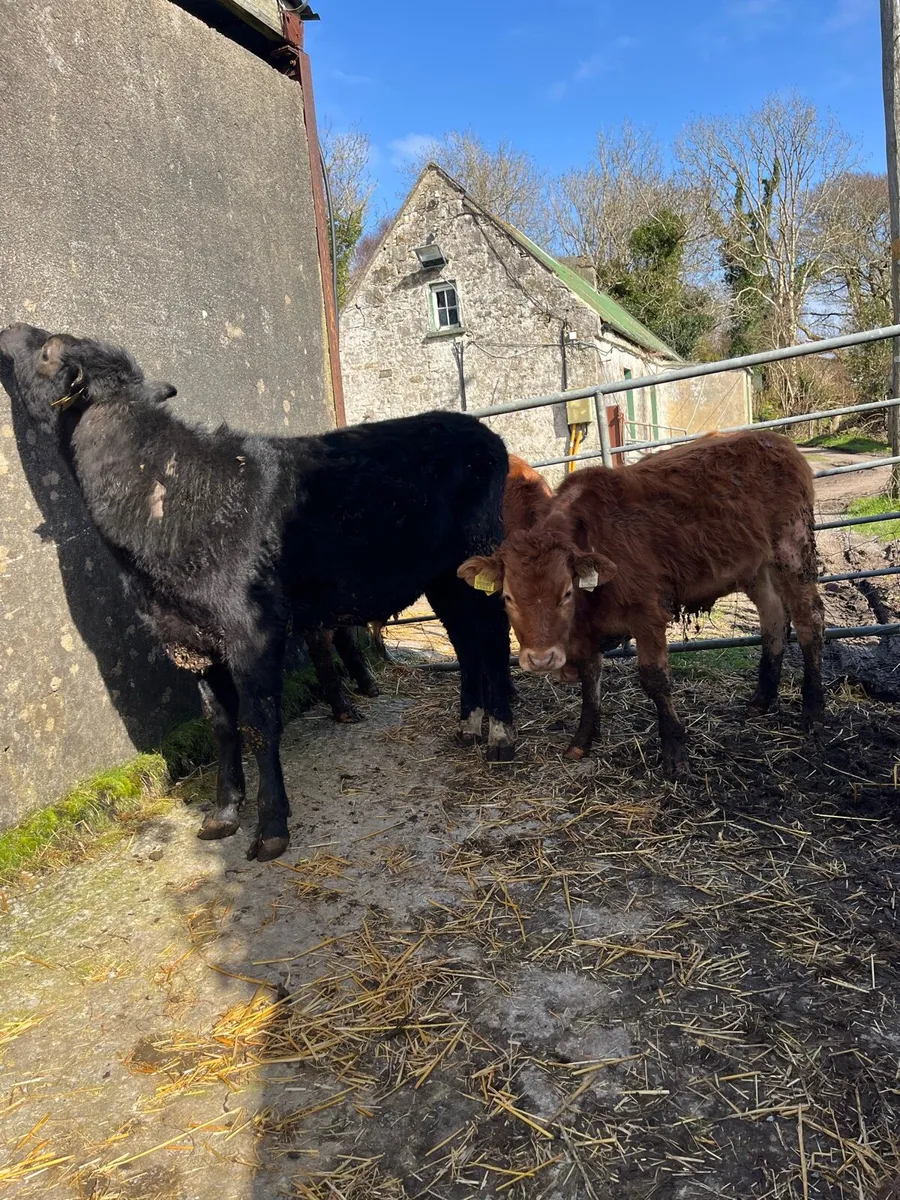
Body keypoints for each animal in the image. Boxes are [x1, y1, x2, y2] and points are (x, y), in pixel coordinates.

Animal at [0, 323, 515, 862]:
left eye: (48, 351)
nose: (10, 329)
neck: (168, 494)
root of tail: (487, 434)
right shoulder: (190, 639)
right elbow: (221, 725)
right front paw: (222, 814)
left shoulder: (251, 628)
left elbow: (258, 722)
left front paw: (270, 827)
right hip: (442, 575)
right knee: (465, 640)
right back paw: (469, 726)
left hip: (480, 549)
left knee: (492, 635)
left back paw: (500, 737)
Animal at [458, 430, 825, 775]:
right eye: (508, 596)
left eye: (565, 592)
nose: (541, 659)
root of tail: (776, 440)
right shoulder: (589, 631)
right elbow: (590, 683)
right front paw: (582, 740)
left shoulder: (647, 614)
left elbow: (654, 678)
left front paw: (675, 751)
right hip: (757, 568)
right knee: (773, 619)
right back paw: (761, 699)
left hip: (793, 552)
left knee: (810, 622)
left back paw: (813, 710)